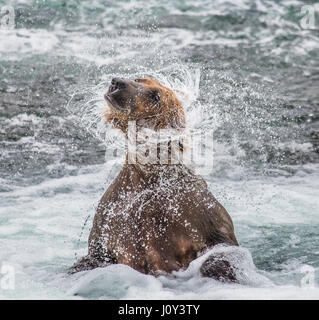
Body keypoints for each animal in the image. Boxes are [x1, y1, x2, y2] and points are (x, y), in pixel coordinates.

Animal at [70, 76, 240, 282]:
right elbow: (97, 254)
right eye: (139, 78)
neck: (147, 177)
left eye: (155, 95)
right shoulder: (111, 218)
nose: (117, 82)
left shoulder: (195, 212)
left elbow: (221, 242)